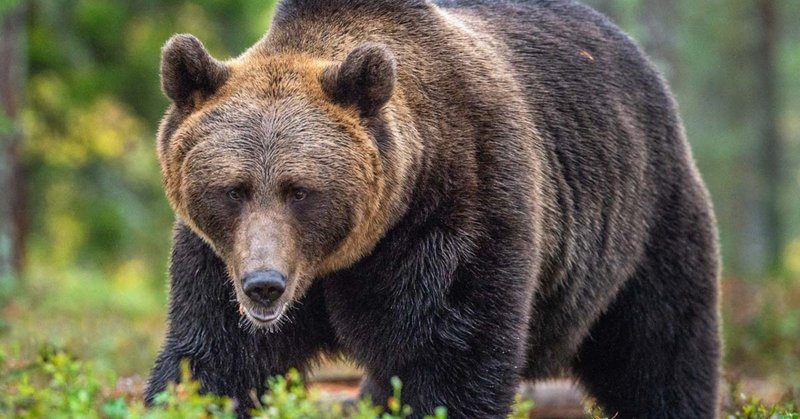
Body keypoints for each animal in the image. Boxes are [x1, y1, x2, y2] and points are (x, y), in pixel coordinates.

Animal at [145, 1, 724, 418]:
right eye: (234, 189)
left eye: (300, 190)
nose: (264, 285)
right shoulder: (216, 257)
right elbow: (214, 359)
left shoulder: (456, 214)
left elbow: (449, 359)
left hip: (643, 223)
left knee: (659, 351)